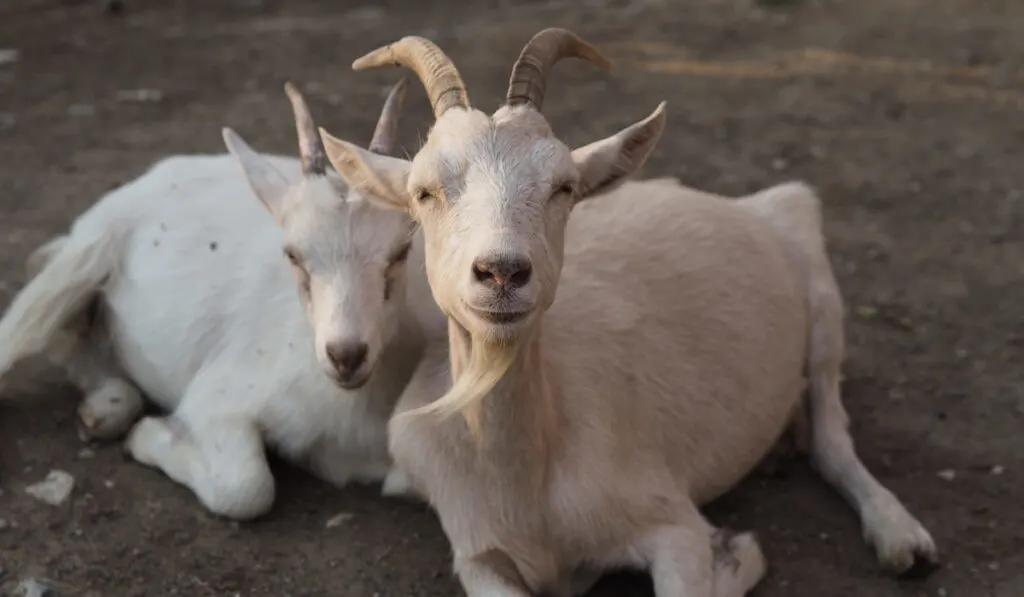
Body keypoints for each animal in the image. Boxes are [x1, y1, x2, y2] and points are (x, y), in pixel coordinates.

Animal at [0, 79, 436, 518]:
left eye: (400, 251)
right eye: (292, 254)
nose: (346, 355)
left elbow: (403, 481)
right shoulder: (218, 400)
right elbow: (246, 488)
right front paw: (148, 434)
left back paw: (106, 405)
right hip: (80, 259)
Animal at [317, 30, 937, 597]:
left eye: (564, 187)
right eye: (424, 192)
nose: (501, 273)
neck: (525, 487)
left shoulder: (670, 524)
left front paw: (733, 554)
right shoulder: (477, 559)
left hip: (816, 276)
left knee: (832, 435)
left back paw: (902, 537)